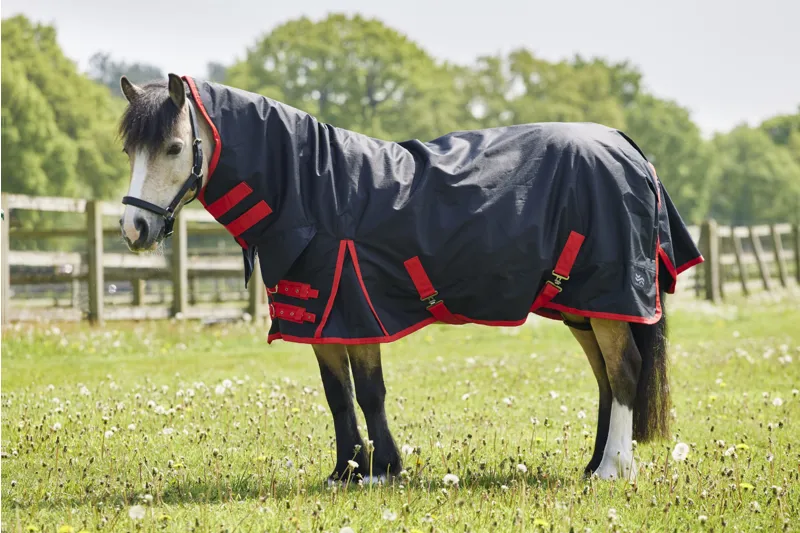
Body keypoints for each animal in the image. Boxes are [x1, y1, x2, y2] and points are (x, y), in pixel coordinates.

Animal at [117, 73, 703, 484]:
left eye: (174, 147)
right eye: (129, 150)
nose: (133, 228)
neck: (314, 188)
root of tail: (626, 148)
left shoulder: (356, 309)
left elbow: (370, 392)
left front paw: (382, 470)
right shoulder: (322, 320)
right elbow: (338, 394)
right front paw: (346, 471)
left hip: (609, 298)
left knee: (624, 372)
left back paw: (613, 469)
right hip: (584, 305)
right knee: (606, 378)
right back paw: (594, 462)